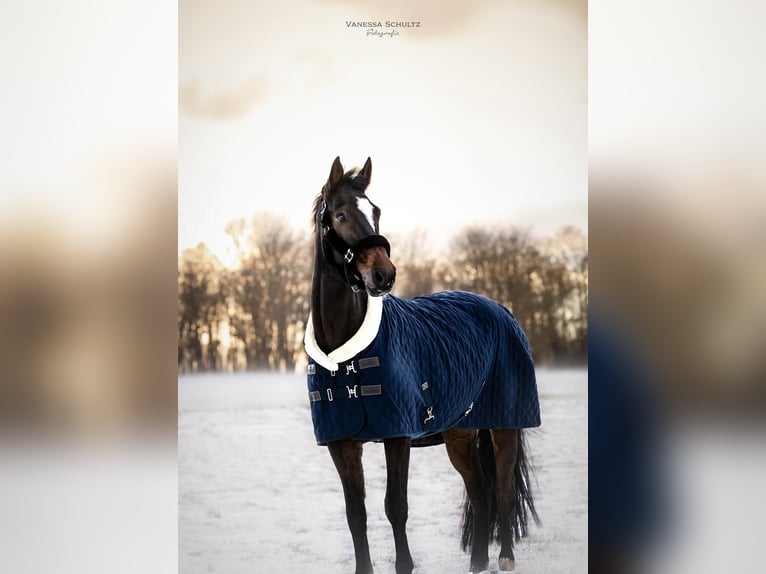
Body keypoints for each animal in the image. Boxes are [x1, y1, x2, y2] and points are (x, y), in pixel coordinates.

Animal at [304, 156, 541, 574]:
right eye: (341, 214)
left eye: (376, 211)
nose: (384, 274)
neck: (344, 353)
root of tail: (500, 310)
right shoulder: (342, 442)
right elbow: (356, 515)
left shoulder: (397, 436)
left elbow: (395, 507)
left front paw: (405, 564)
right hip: (460, 433)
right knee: (480, 491)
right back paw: (478, 562)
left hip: (504, 425)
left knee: (502, 489)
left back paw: (505, 558)